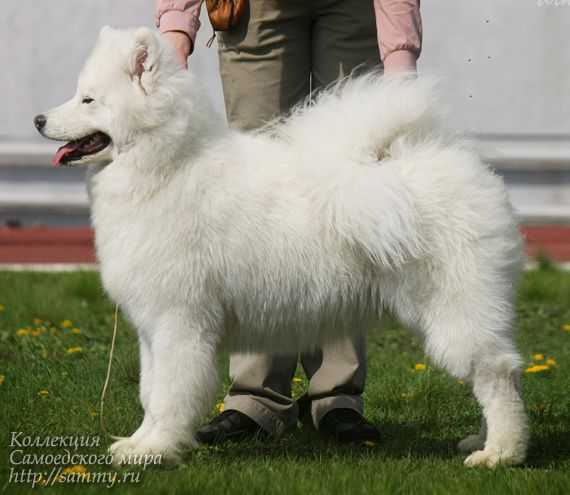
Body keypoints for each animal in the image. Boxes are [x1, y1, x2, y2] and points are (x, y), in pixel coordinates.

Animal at [33, 27, 524, 468]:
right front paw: (139, 444)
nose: (37, 120)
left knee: (498, 375)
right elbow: (150, 393)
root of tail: (460, 165)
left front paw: (156, 451)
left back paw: (500, 453)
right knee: (494, 373)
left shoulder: (179, 323)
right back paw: (480, 441)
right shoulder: (153, 329)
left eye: (88, 100)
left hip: (455, 308)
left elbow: (170, 395)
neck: (166, 166)